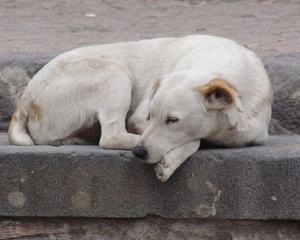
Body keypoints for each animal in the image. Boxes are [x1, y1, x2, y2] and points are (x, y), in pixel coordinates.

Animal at [8, 34, 272, 182]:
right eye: (150, 116)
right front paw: (170, 161)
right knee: (111, 136)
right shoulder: (138, 119)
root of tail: (24, 99)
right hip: (114, 72)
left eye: (173, 120)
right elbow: (194, 140)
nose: (139, 152)